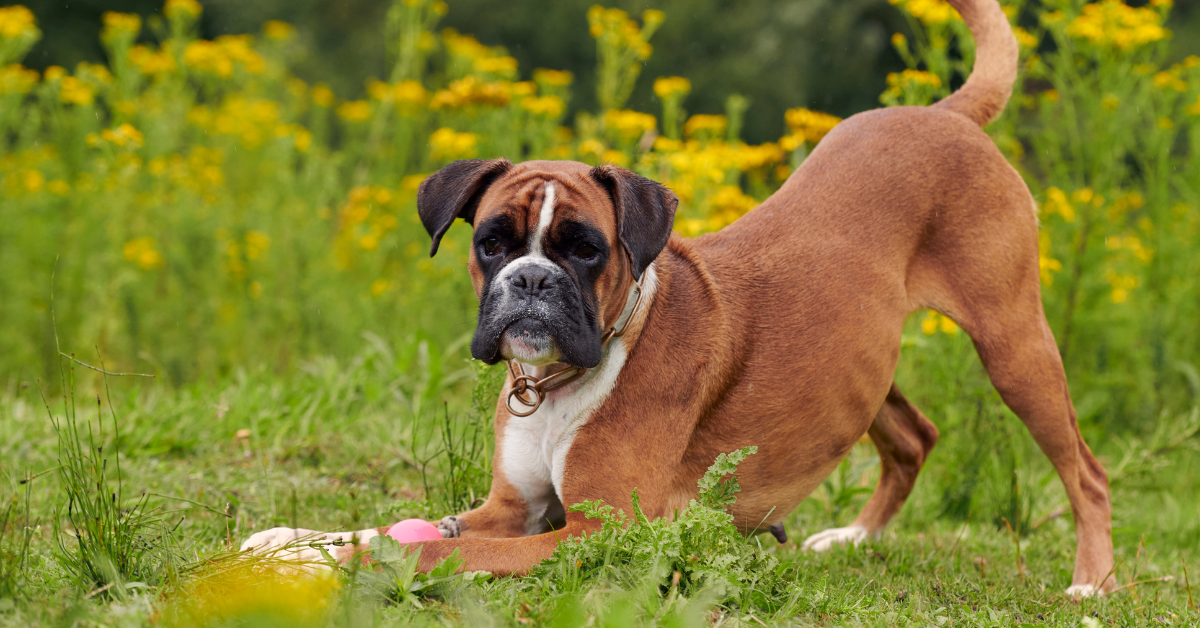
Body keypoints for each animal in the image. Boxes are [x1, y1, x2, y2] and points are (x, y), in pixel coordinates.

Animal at [243, 0, 1113, 597]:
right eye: (492, 242)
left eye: (584, 250)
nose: (531, 281)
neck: (564, 380)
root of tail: (945, 115)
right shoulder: (511, 509)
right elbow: (397, 523)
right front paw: (293, 539)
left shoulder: (590, 534)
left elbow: (431, 544)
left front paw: (325, 562)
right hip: (862, 365)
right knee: (914, 436)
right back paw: (854, 539)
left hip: (1013, 344)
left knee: (1087, 471)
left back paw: (1091, 583)